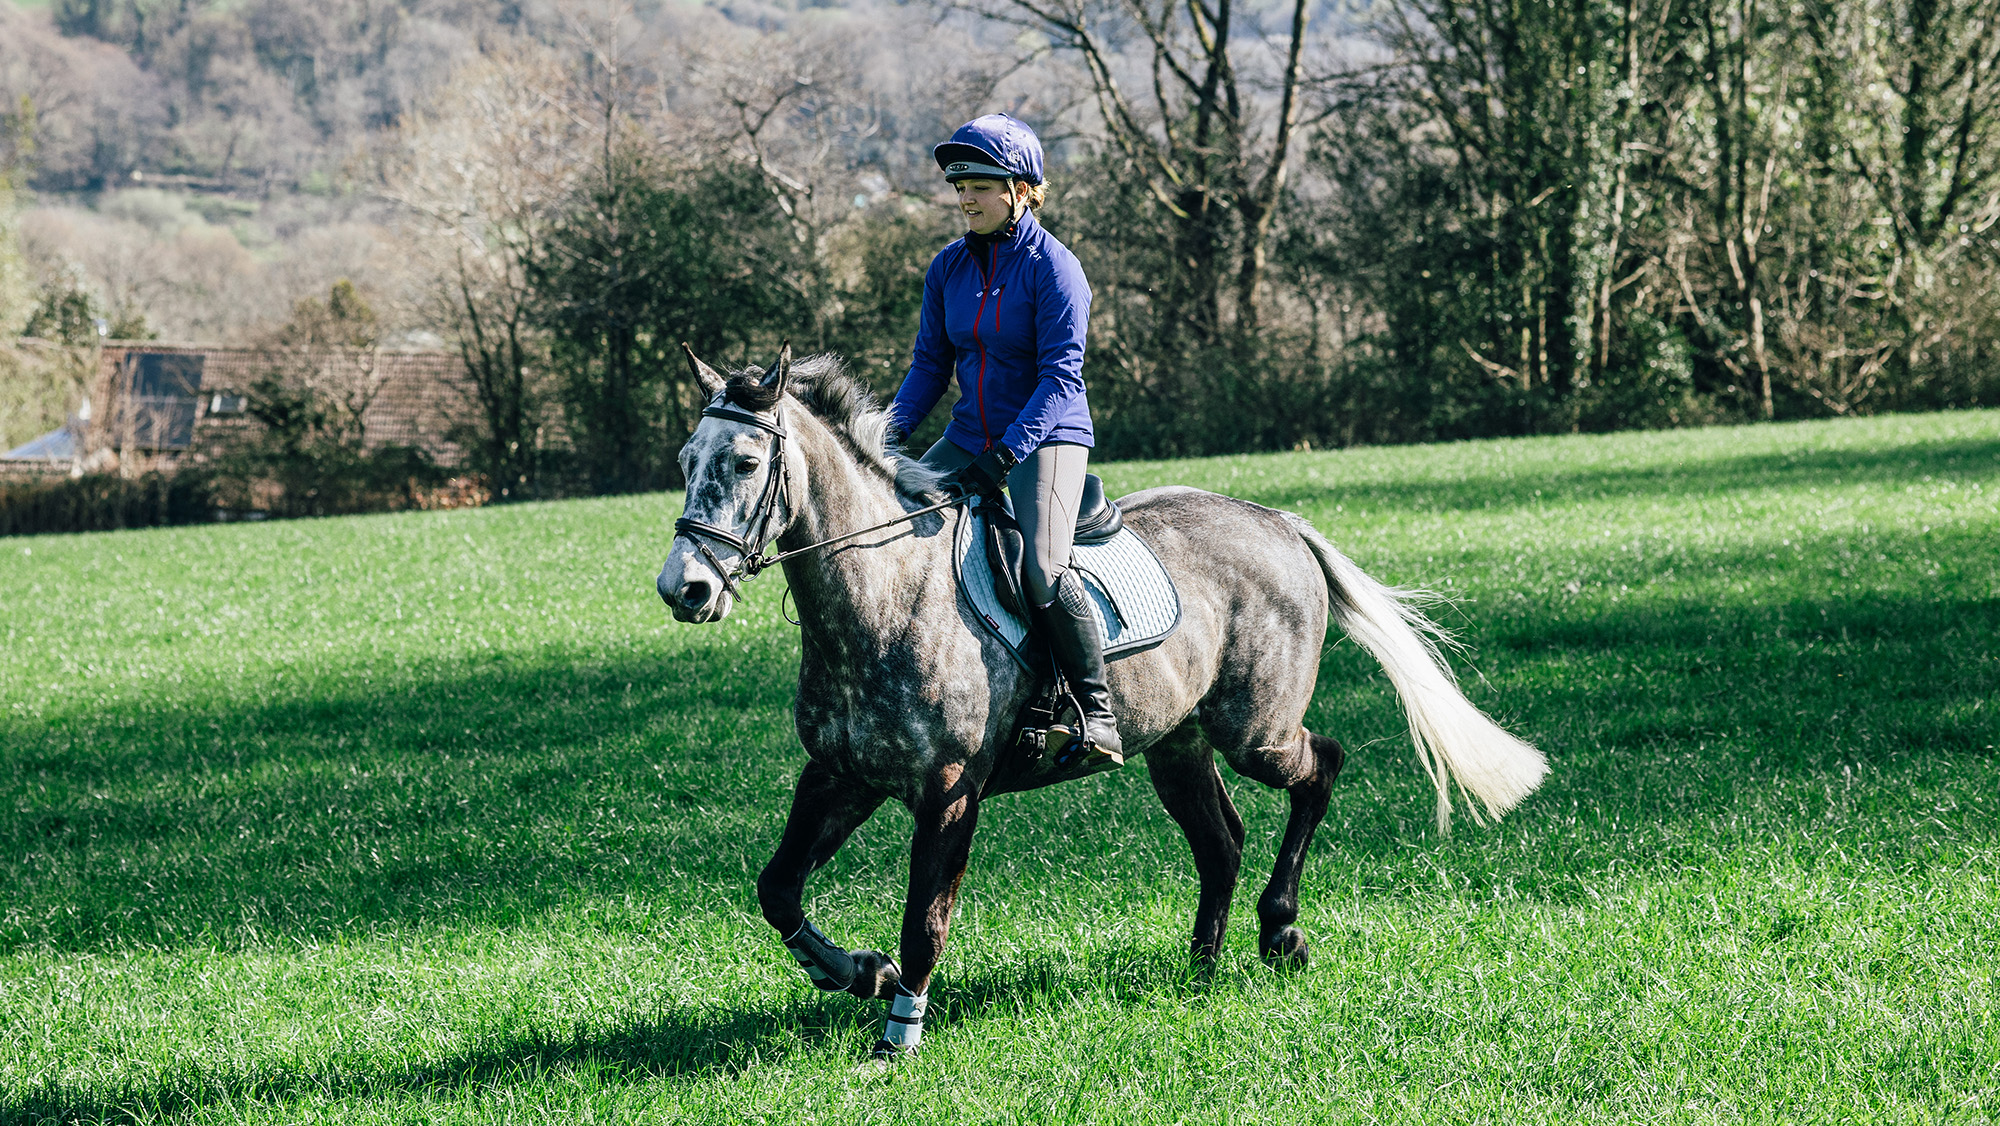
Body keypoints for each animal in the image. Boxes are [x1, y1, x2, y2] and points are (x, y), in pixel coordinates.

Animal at [657, 345, 1548, 1057]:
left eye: (744, 464)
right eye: (685, 458)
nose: (684, 589)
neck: (885, 593)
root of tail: (1278, 521)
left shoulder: (949, 790)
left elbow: (925, 917)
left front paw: (898, 1033)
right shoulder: (841, 774)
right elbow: (778, 887)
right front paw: (861, 973)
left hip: (1253, 729)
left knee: (1320, 767)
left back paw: (1281, 931)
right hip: (1178, 743)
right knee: (1220, 841)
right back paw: (1201, 966)